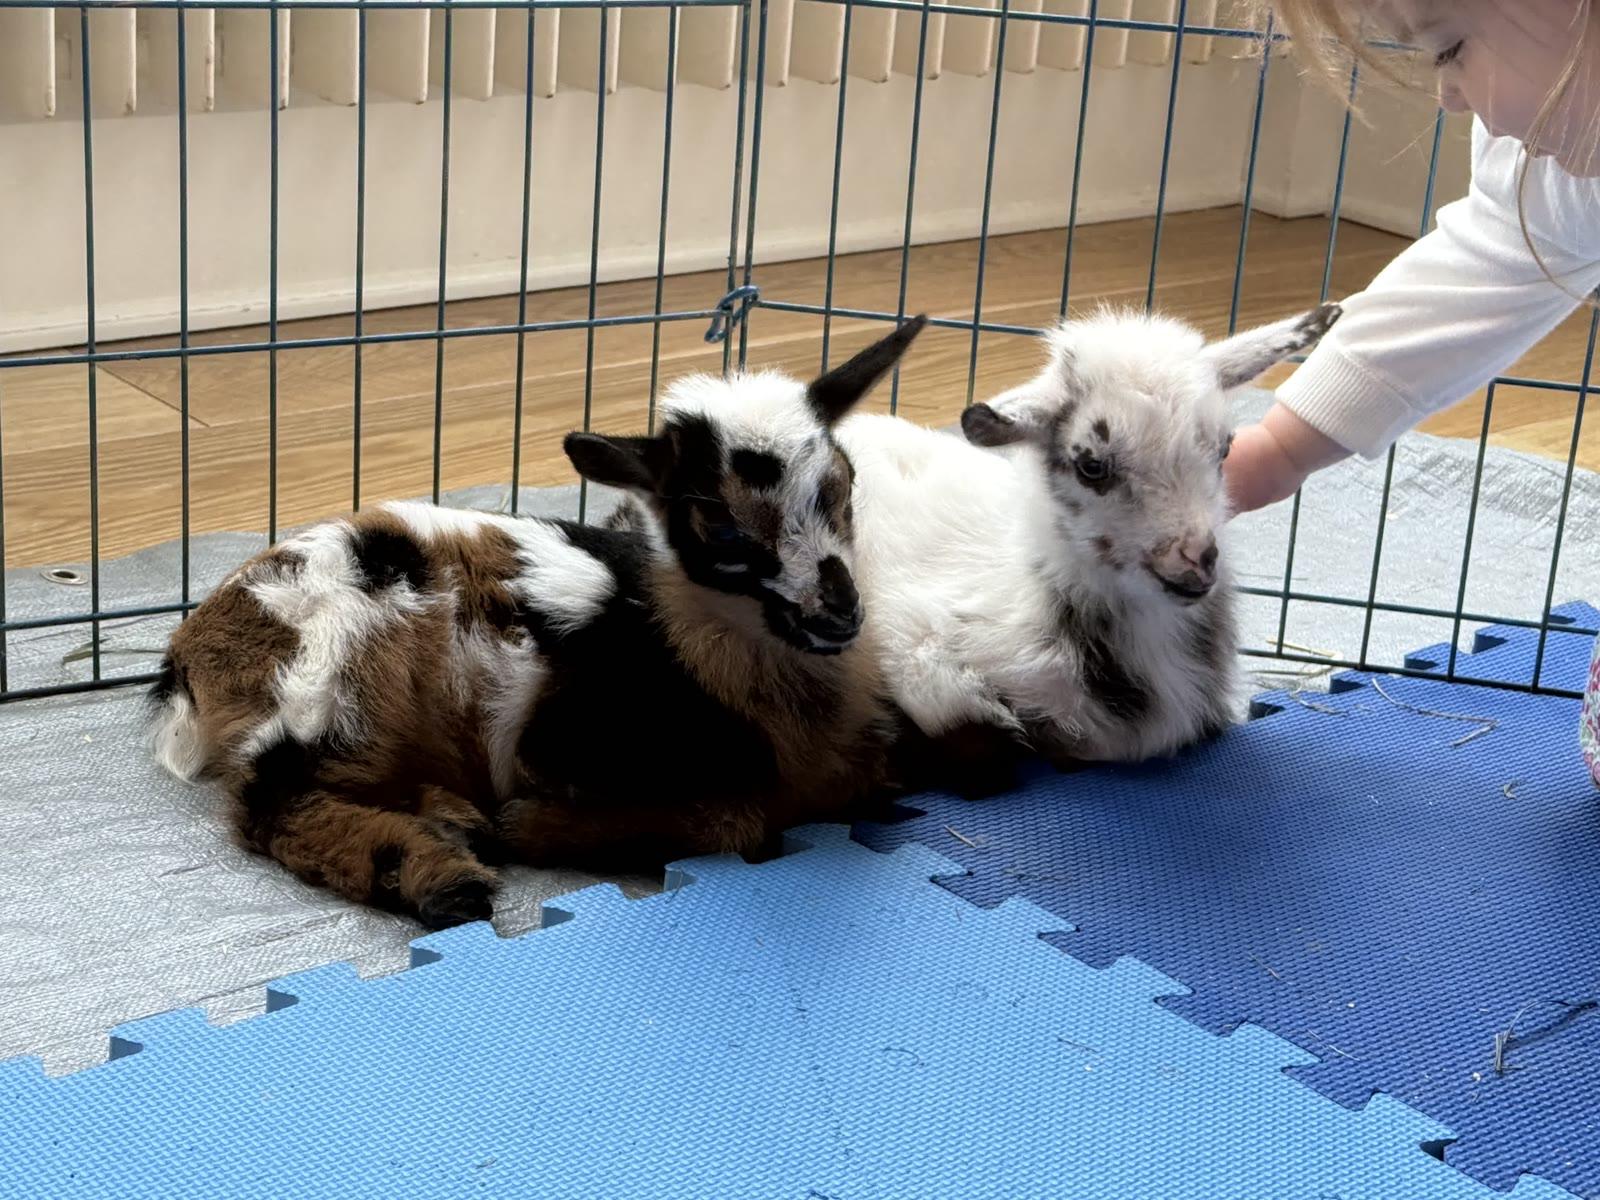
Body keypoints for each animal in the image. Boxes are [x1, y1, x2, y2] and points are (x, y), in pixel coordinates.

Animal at [148, 319, 925, 928]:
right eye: (721, 527)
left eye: (843, 487)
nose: (840, 613)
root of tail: (195, 644)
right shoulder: (569, 742)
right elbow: (739, 819)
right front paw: (532, 829)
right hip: (327, 680)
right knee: (274, 805)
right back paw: (442, 877)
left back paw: (450, 819)